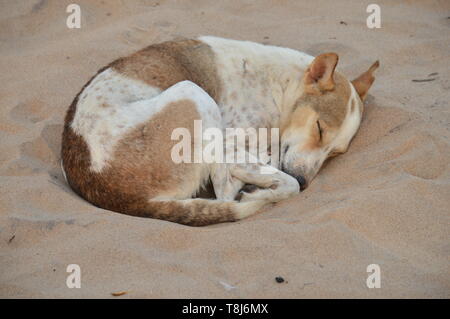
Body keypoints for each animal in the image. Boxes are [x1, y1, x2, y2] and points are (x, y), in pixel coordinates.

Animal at [61, 36, 378, 226]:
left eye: (335, 153)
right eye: (319, 128)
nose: (305, 179)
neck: (281, 85)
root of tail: (112, 194)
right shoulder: (229, 144)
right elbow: (287, 183)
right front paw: (262, 186)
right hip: (193, 94)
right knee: (225, 194)